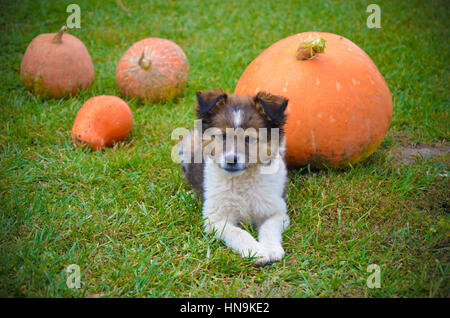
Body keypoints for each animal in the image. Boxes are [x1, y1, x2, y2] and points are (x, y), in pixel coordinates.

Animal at [178, 89, 288, 266]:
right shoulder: (215, 219)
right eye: (223, 136)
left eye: (249, 138)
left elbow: (269, 228)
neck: (242, 179)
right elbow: (238, 233)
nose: (231, 160)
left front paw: (271, 250)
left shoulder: (277, 212)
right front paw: (256, 251)